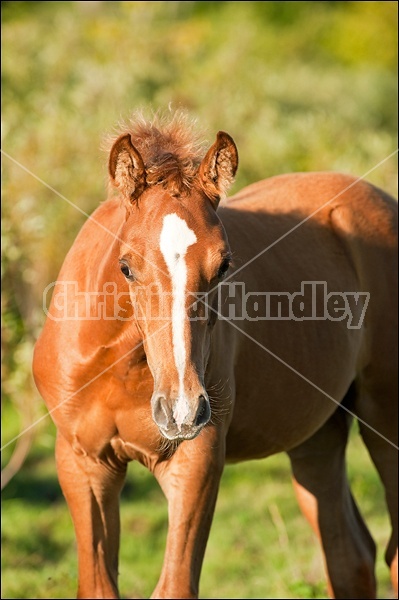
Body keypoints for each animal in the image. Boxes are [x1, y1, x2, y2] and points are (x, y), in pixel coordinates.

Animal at [32, 110, 398, 596]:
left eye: (224, 265)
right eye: (126, 267)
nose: (181, 411)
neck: (121, 366)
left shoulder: (196, 462)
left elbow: (175, 586)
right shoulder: (83, 464)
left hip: (384, 417)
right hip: (317, 435)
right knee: (349, 556)